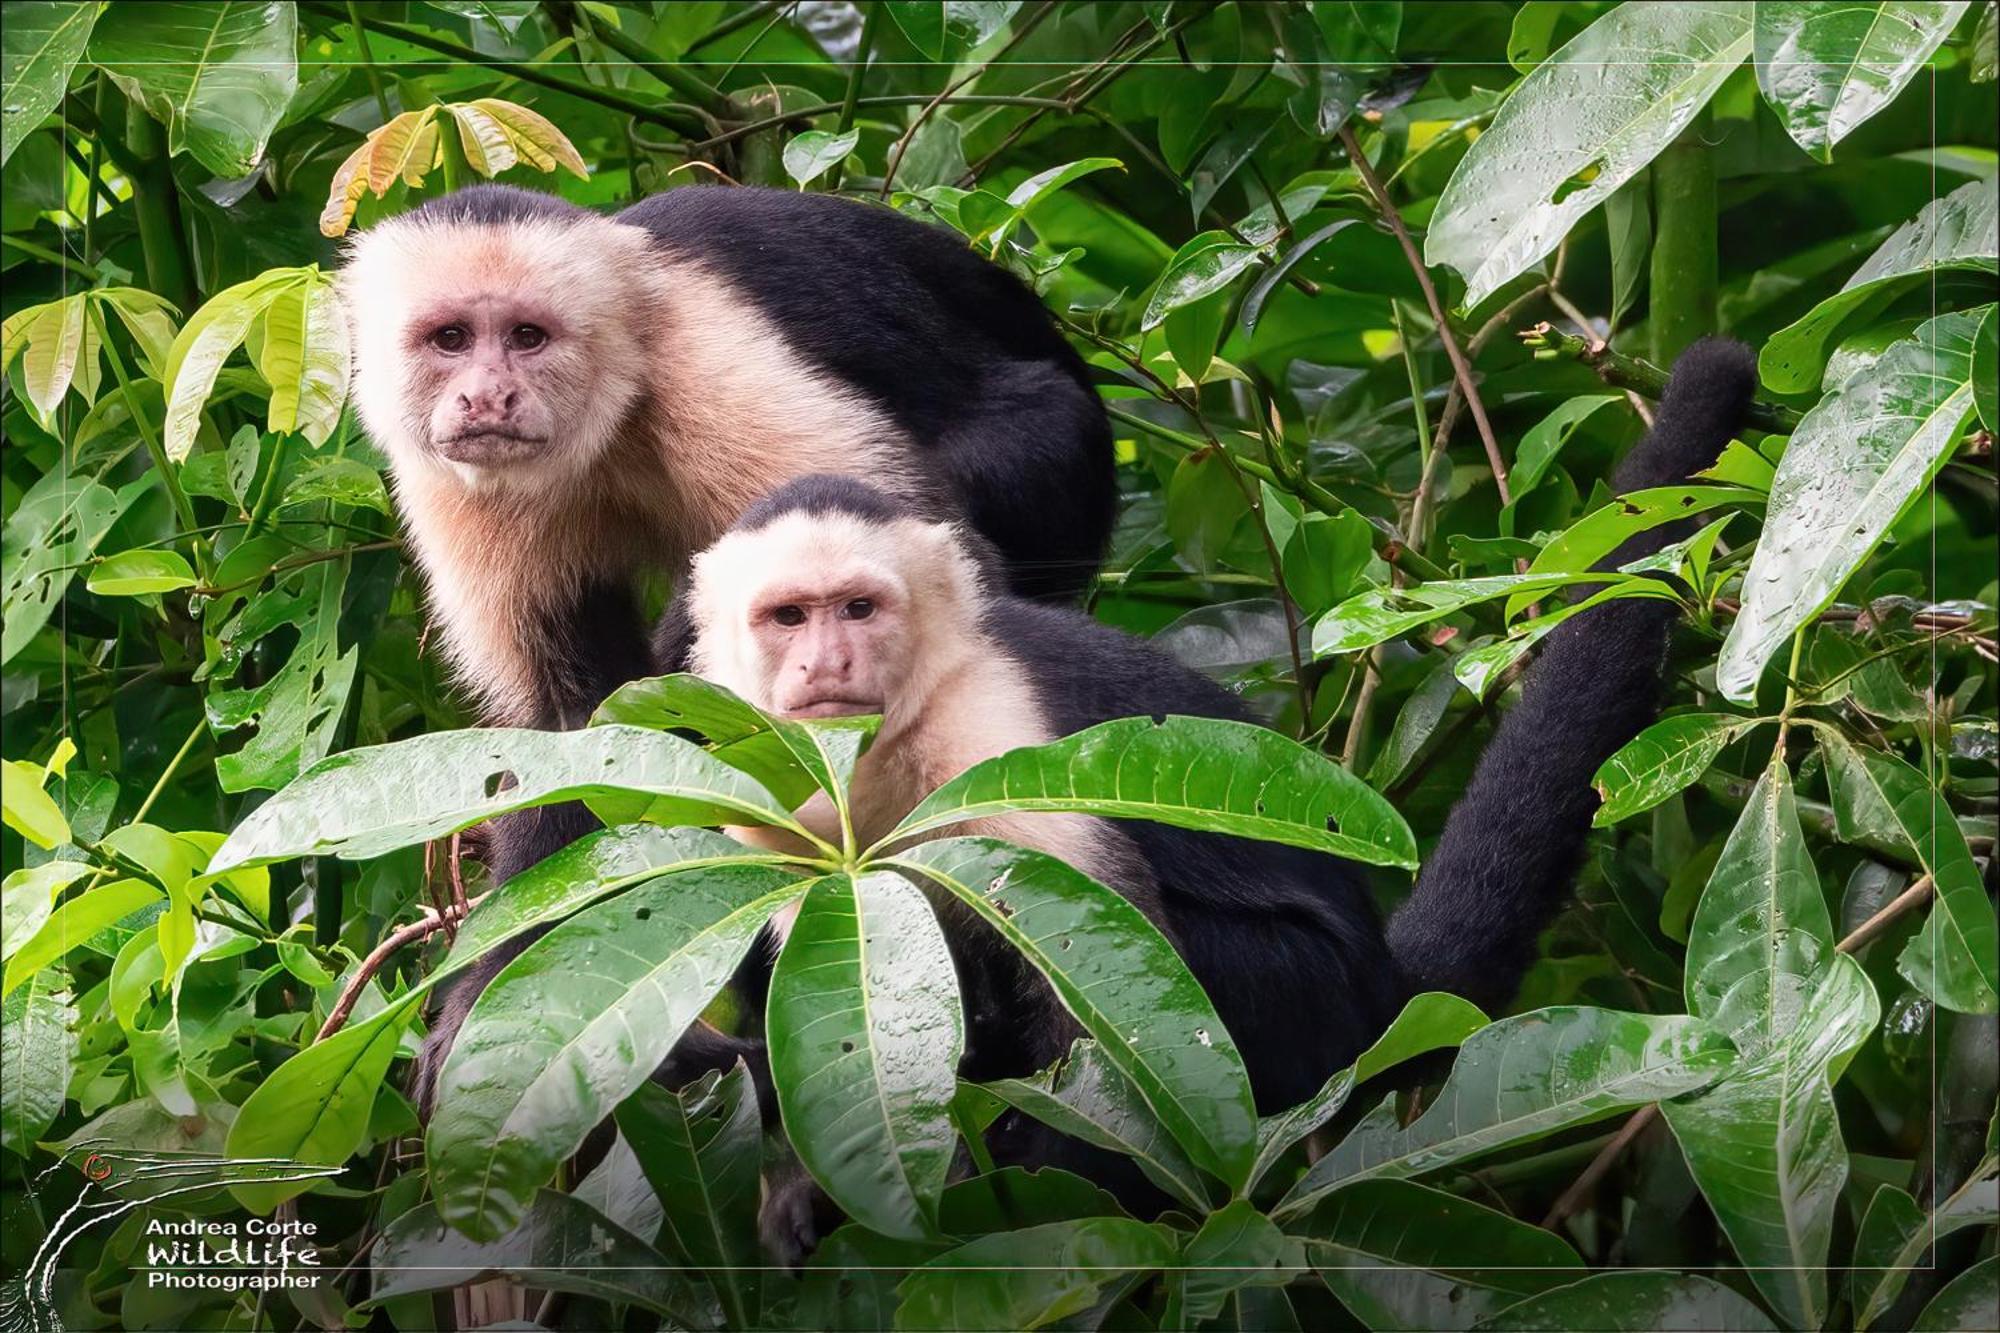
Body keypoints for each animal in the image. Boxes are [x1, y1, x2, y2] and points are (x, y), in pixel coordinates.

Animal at [350, 179, 1120, 880]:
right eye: (451, 339)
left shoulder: (709, 361)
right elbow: (574, 723)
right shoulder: (453, 484)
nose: (488, 396)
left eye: (527, 337)